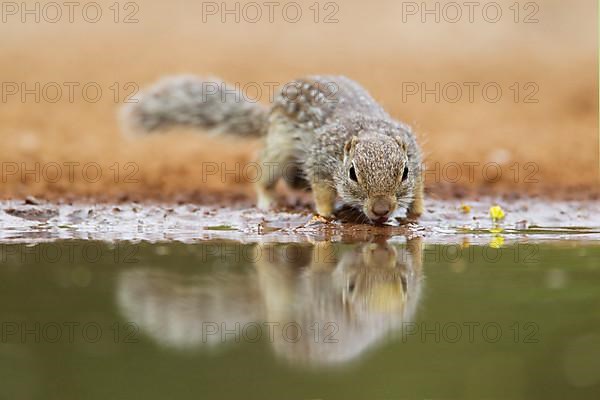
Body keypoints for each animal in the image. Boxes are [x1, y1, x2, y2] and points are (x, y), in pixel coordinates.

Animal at [120, 75, 422, 223]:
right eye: (352, 174)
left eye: (404, 172)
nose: (382, 209)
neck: (367, 129)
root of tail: (267, 116)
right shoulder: (319, 162)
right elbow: (322, 191)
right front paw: (325, 214)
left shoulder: (416, 155)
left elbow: (418, 190)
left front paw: (417, 213)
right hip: (276, 151)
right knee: (263, 176)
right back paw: (267, 202)